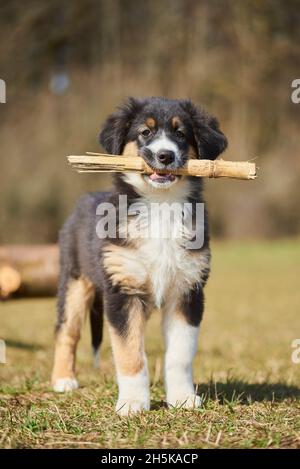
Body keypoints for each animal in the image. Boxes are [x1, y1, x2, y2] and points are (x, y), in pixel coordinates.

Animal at [51, 95, 226, 414]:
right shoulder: (123, 291)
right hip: (74, 281)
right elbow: (129, 351)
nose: (165, 156)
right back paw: (63, 379)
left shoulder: (188, 291)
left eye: (181, 134)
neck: (160, 204)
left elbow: (180, 355)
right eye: (145, 132)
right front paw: (132, 402)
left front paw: (182, 398)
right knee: (66, 332)